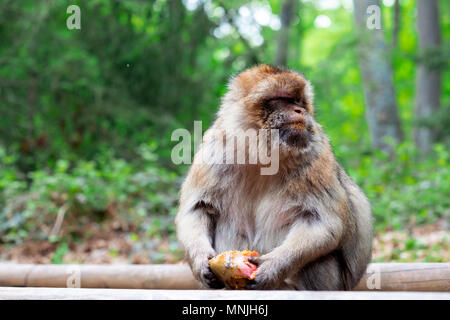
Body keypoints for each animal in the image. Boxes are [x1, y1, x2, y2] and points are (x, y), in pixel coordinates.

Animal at [176, 64, 372, 290]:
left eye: (299, 101)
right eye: (283, 99)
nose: (300, 110)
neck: (263, 153)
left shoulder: (316, 155)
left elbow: (323, 222)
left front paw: (271, 268)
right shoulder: (215, 149)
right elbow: (197, 208)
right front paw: (201, 261)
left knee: (320, 258)